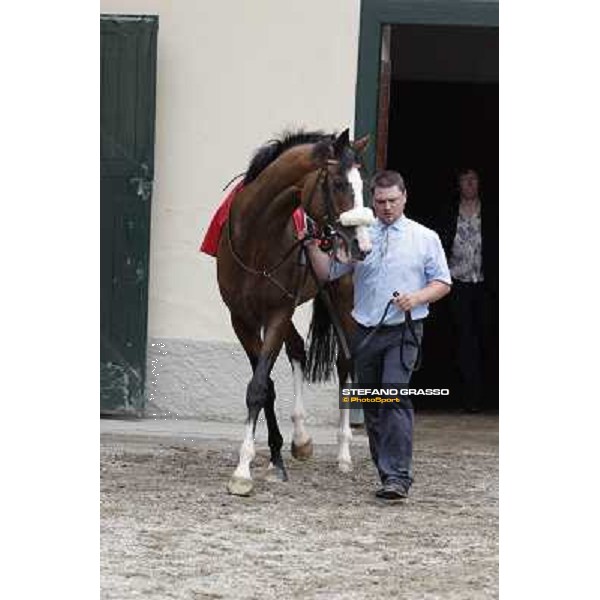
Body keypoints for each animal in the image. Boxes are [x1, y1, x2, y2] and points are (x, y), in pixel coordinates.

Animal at [218, 129, 372, 494]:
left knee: (345, 361)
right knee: (299, 349)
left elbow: (259, 386)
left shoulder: (276, 313)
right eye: (338, 183)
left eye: (365, 185)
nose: (362, 244)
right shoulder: (242, 320)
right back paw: (300, 438)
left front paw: (242, 471)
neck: (256, 236)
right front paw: (273, 458)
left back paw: (344, 453)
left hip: (341, 299)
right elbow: (265, 386)